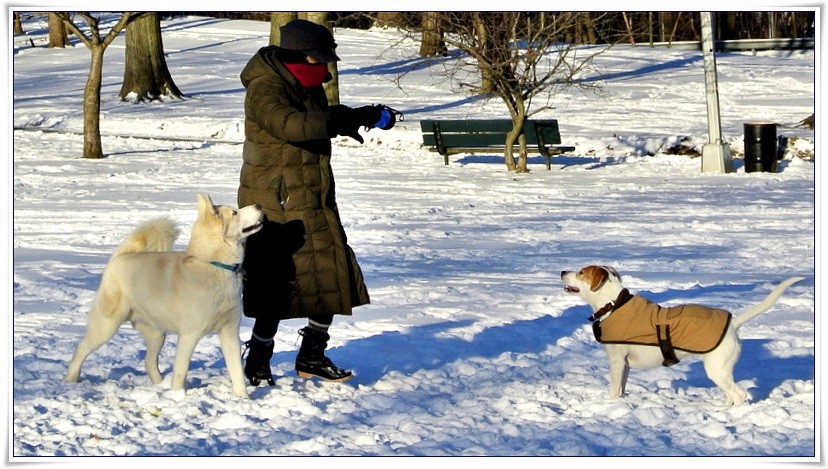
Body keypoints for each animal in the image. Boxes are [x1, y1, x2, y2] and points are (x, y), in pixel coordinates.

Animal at [560, 266, 804, 404]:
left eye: (581, 272)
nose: (562, 272)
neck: (613, 304)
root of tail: (733, 324)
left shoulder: (617, 361)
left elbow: (614, 388)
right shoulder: (625, 365)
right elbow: (622, 388)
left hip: (716, 370)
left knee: (739, 395)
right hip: (722, 372)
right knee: (730, 394)